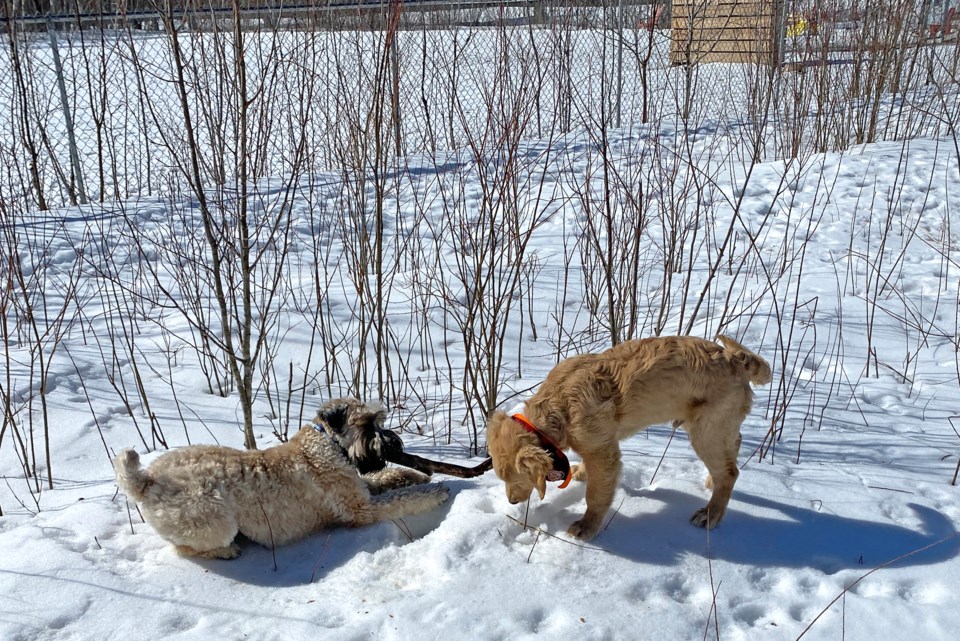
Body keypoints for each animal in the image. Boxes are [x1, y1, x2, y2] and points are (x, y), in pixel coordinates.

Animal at [488, 336, 772, 540]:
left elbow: (596, 495)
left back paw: (710, 514)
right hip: (718, 427)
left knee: (730, 472)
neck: (558, 406)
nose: (511, 500)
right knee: (733, 449)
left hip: (707, 430)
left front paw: (587, 526)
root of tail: (737, 360)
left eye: (515, 478)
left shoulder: (603, 451)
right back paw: (712, 481)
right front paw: (581, 472)